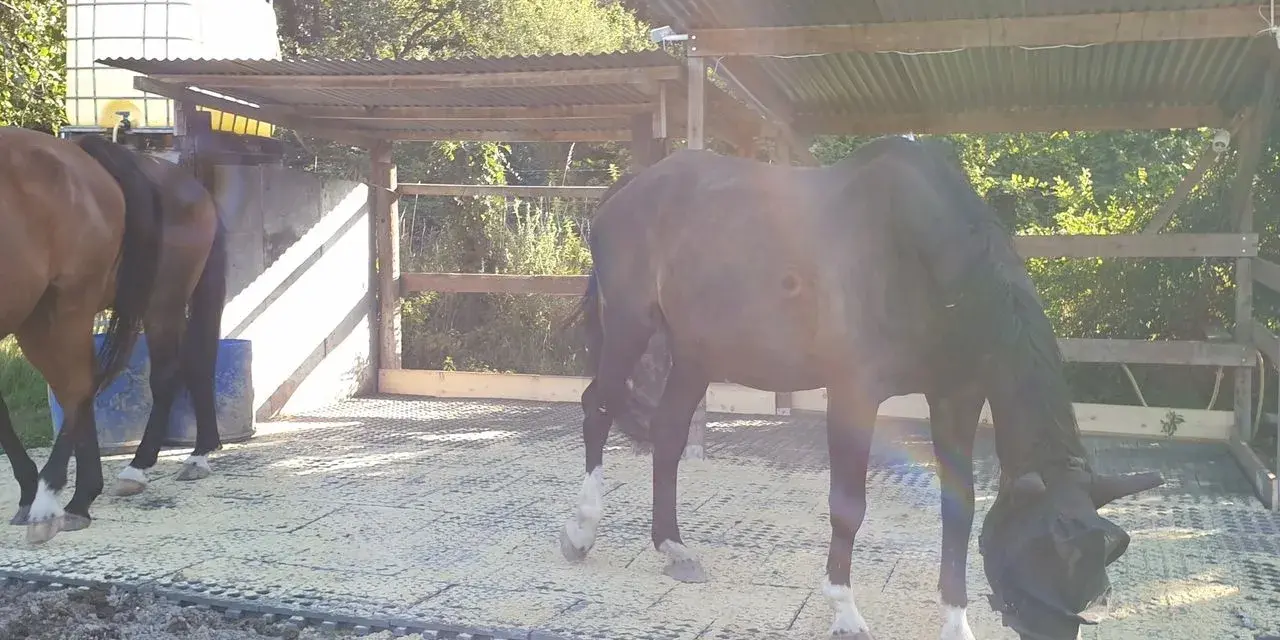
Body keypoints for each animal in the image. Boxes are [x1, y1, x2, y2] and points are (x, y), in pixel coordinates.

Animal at [556, 136, 1164, 640]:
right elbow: (848, 505)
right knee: (597, 407)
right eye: (1047, 550)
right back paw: (581, 531)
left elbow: (959, 507)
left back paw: (673, 546)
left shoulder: (957, 396)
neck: (923, 252)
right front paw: (845, 610)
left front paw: (956, 621)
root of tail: (631, 187)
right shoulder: (854, 393)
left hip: (694, 352)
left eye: (1099, 566)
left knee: (667, 433)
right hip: (631, 326)